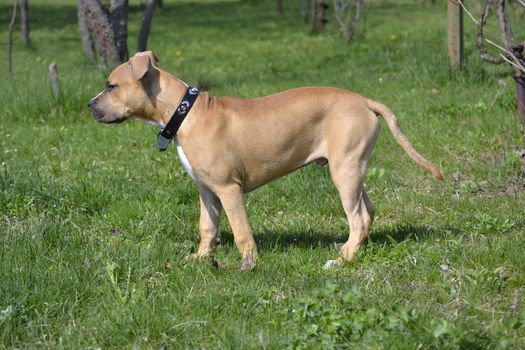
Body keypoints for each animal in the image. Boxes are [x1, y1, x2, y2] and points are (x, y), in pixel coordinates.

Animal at [87, 51, 442, 270]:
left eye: (111, 86)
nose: (90, 104)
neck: (183, 112)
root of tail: (364, 101)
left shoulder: (229, 189)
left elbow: (241, 230)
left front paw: (248, 265)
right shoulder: (207, 191)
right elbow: (207, 226)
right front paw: (201, 258)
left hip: (345, 171)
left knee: (357, 217)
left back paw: (343, 261)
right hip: (352, 168)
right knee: (367, 211)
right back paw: (349, 251)